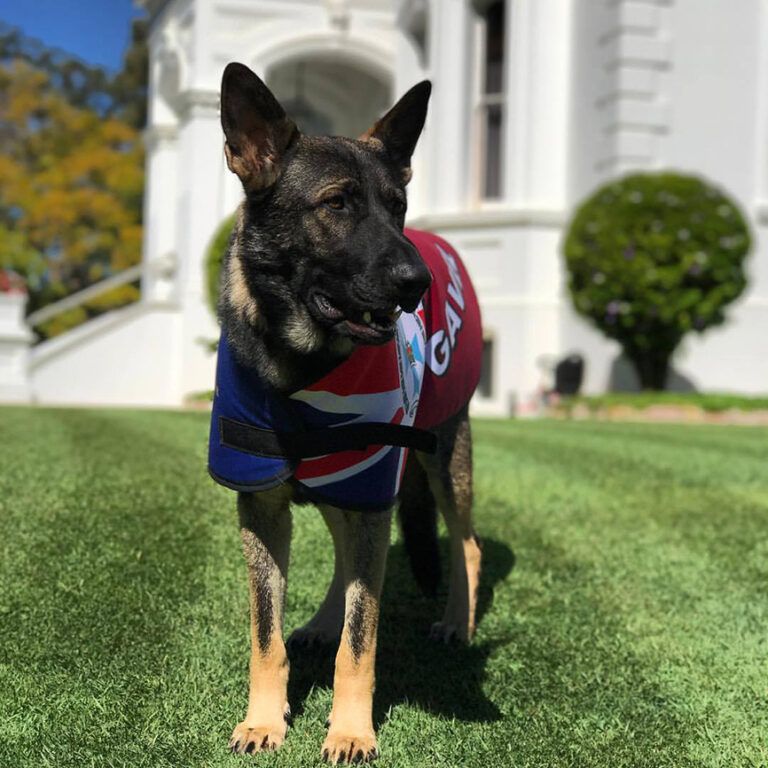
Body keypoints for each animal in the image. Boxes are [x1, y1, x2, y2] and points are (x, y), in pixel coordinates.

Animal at [213, 61, 484, 760]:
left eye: (398, 208)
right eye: (336, 204)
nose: (419, 283)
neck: (301, 368)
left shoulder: (371, 490)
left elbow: (360, 643)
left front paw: (352, 731)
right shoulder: (264, 508)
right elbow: (265, 635)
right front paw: (265, 719)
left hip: (441, 464)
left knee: (466, 543)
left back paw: (457, 621)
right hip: (351, 483)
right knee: (346, 549)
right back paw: (322, 620)